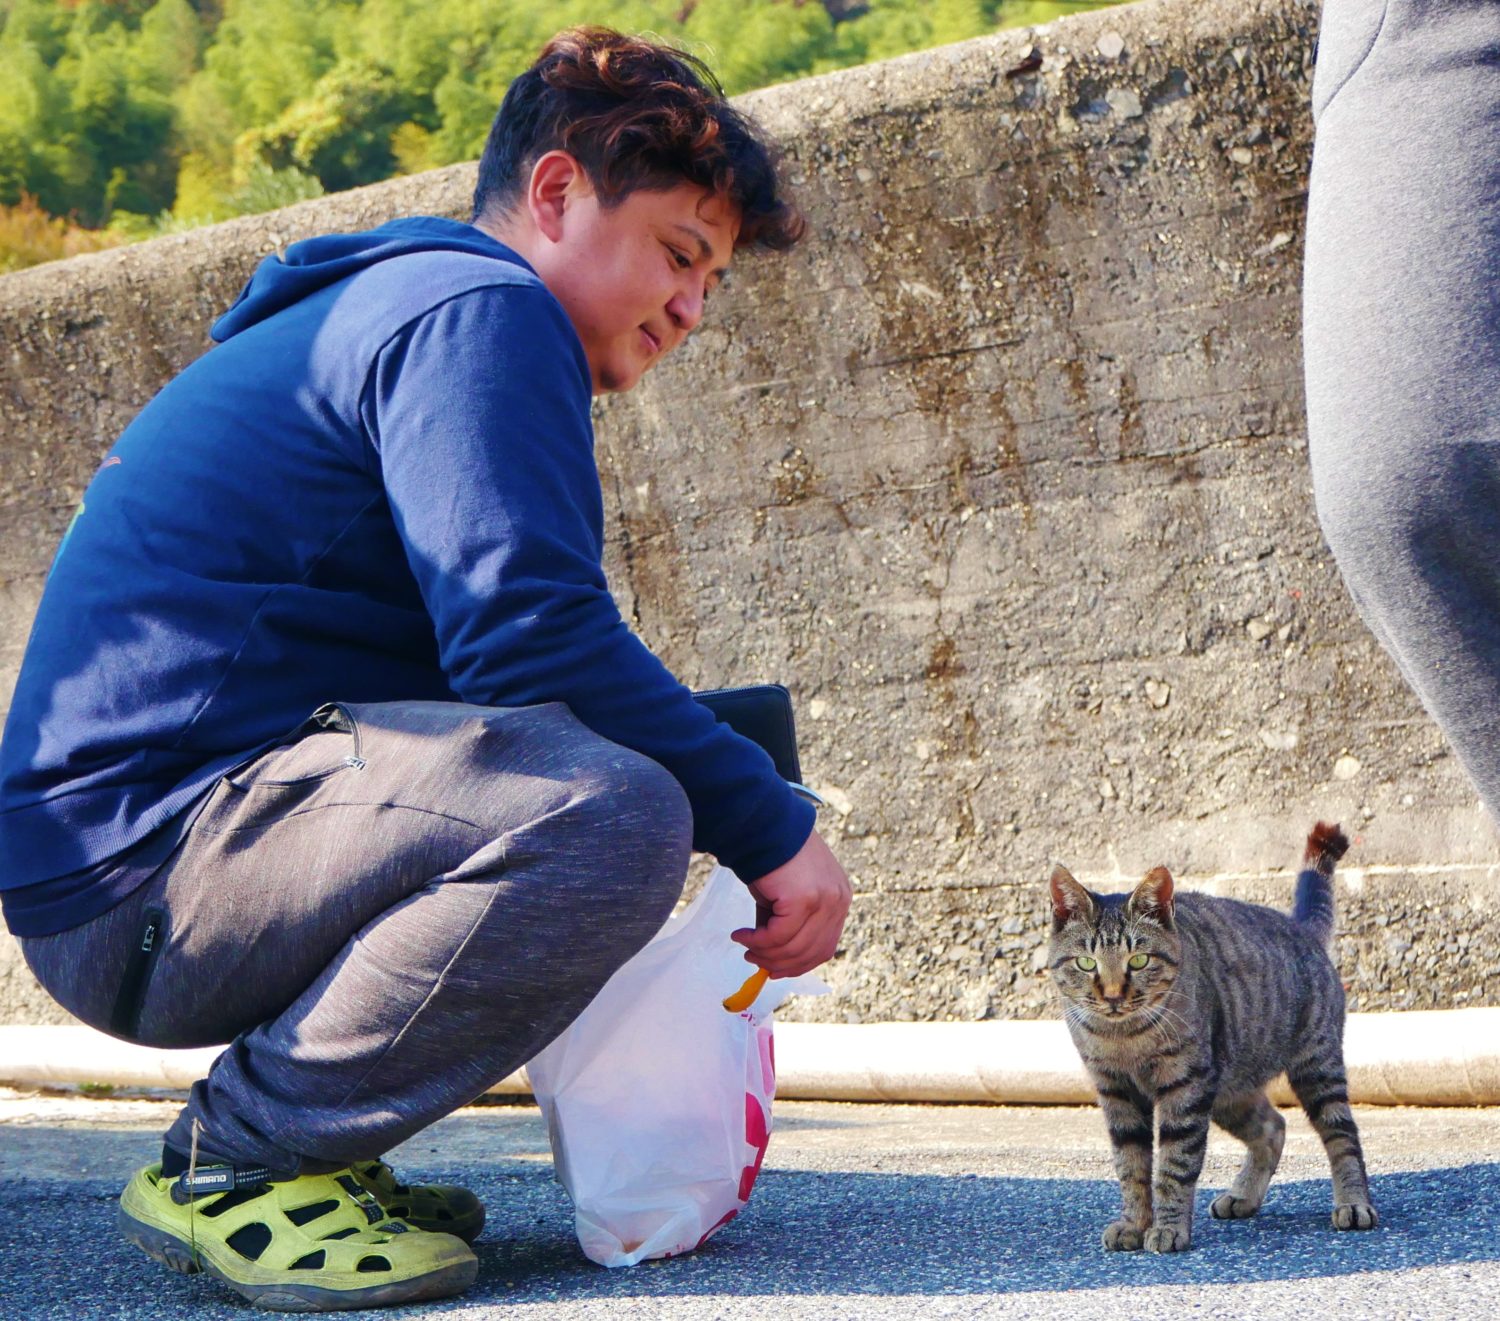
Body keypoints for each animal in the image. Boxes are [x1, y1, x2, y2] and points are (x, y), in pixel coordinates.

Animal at [1050, 821, 1374, 1253]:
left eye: (1139, 960)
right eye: (1087, 963)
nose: (1114, 995)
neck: (1125, 1036)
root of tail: (1299, 926)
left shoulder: (1185, 1088)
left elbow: (1175, 1164)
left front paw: (1168, 1228)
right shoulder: (1115, 1091)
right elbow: (1131, 1167)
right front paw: (1134, 1223)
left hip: (1315, 1069)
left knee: (1343, 1136)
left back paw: (1353, 1203)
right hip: (1228, 1091)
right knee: (1273, 1128)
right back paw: (1243, 1196)